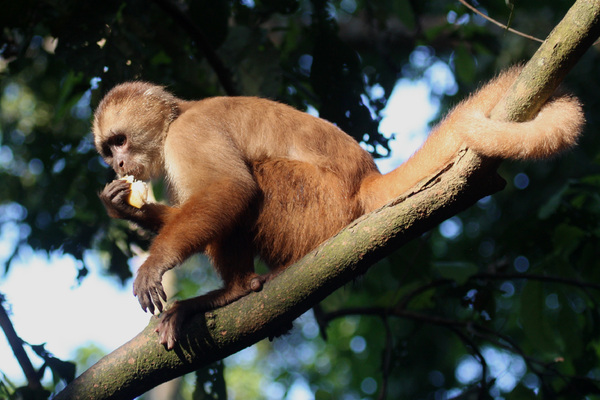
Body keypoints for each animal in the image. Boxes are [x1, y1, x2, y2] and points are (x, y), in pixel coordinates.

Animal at [92, 67, 580, 348]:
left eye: (120, 141)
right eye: (106, 151)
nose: (117, 164)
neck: (179, 115)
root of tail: (365, 181)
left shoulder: (189, 134)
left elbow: (231, 190)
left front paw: (154, 263)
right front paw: (128, 211)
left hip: (318, 208)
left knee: (256, 179)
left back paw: (234, 290)